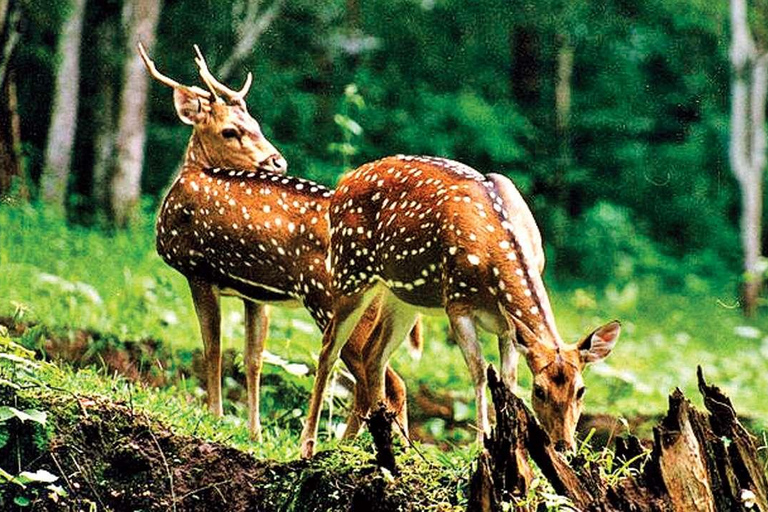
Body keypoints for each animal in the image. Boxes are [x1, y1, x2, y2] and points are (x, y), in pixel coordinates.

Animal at [143, 46, 420, 442]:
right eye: (231, 130)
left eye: (255, 125)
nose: (277, 161)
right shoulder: (255, 293)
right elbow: (253, 358)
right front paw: (254, 432)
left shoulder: (197, 270)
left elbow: (213, 348)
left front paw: (215, 416)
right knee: (377, 381)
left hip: (331, 301)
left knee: (383, 381)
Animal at [296, 155, 620, 456]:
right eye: (539, 390)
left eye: (581, 390)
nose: (564, 445)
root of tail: (343, 182)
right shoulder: (457, 303)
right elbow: (479, 372)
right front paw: (480, 442)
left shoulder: (507, 327)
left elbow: (508, 380)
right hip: (349, 273)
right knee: (328, 349)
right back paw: (309, 445)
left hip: (399, 296)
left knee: (373, 352)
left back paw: (391, 442)